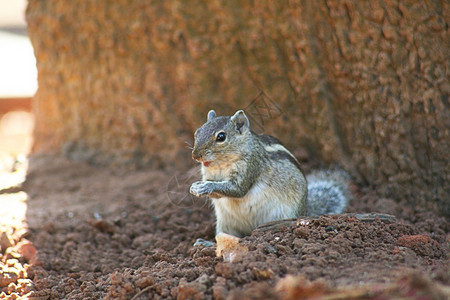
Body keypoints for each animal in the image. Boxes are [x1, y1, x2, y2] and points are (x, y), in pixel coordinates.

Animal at [190, 109, 352, 238]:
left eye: (221, 137)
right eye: (197, 132)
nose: (195, 156)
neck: (221, 164)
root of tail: (305, 210)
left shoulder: (250, 167)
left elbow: (237, 190)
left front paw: (206, 187)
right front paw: (195, 187)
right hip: (225, 222)